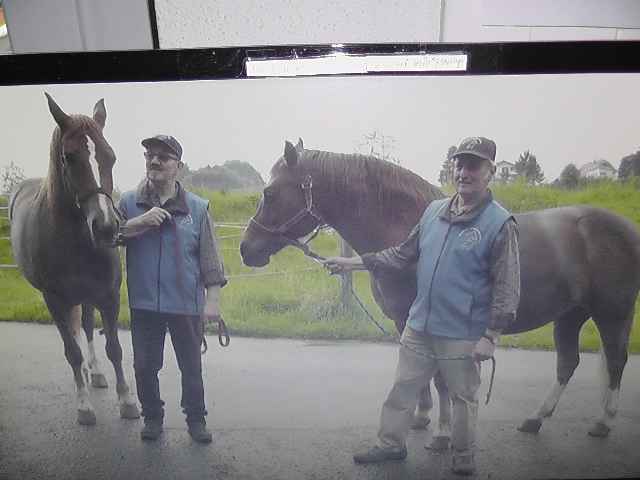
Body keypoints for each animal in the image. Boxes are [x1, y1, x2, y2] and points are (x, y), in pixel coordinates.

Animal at [8, 93, 139, 424]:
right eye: (68, 157)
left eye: (111, 156)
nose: (106, 228)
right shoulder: (54, 299)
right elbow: (72, 351)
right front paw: (84, 406)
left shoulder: (108, 294)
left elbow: (114, 347)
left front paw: (127, 400)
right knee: (77, 335)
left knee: (88, 328)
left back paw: (96, 372)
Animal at [240, 138, 640, 442]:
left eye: (270, 192)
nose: (247, 249)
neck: (407, 224)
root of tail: (624, 227)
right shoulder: (406, 321)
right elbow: (417, 371)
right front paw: (421, 417)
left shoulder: (427, 321)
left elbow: (437, 376)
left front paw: (443, 431)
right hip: (570, 316)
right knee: (567, 363)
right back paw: (535, 419)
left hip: (611, 313)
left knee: (616, 361)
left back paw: (603, 422)